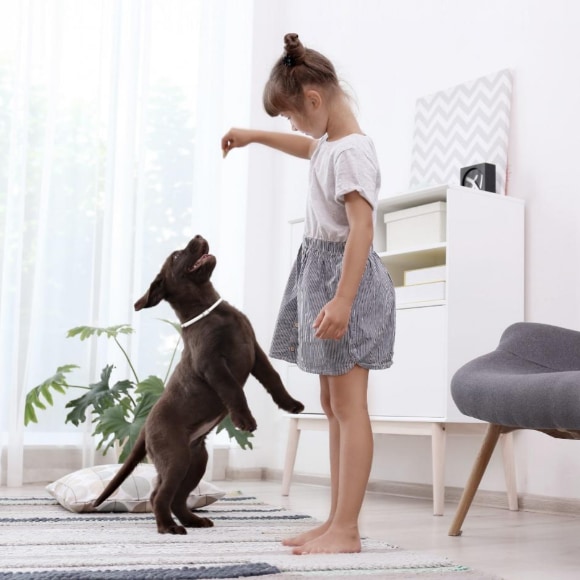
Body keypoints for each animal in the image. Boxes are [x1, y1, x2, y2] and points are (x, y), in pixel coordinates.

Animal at [92, 233, 304, 532]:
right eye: (176, 256)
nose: (198, 236)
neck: (209, 308)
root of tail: (144, 427)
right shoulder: (212, 364)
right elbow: (233, 389)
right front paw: (244, 420)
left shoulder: (255, 352)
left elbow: (273, 377)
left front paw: (291, 404)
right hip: (176, 456)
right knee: (160, 495)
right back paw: (168, 527)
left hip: (196, 460)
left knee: (177, 497)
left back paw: (193, 520)